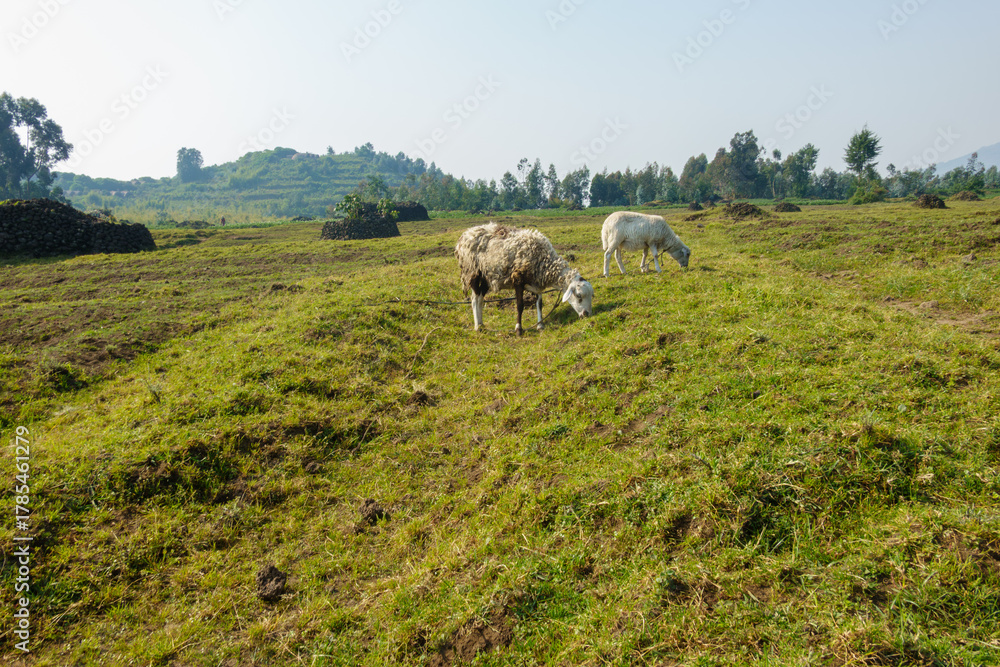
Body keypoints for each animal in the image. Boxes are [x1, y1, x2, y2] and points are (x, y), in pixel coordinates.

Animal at [455, 222, 593, 336]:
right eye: (579, 296)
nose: (587, 314)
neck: (544, 262)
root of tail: (465, 234)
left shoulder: (537, 281)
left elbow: (539, 304)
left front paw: (540, 325)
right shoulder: (518, 279)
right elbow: (520, 306)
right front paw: (519, 329)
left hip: (487, 277)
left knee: (480, 298)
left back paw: (481, 324)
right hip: (472, 272)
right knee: (474, 299)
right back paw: (477, 326)